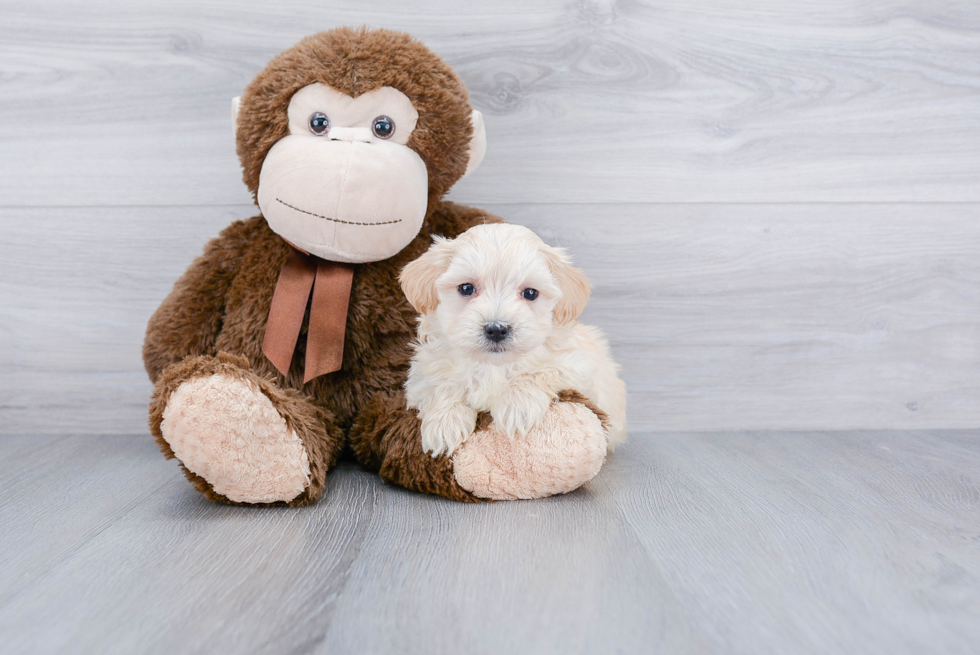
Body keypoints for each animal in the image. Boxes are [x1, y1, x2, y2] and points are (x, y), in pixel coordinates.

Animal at [400, 223, 624, 458]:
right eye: (466, 288)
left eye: (531, 293)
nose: (497, 329)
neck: (492, 366)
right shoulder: (423, 373)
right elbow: (442, 384)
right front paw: (445, 423)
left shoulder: (578, 367)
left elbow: (537, 372)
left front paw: (516, 406)